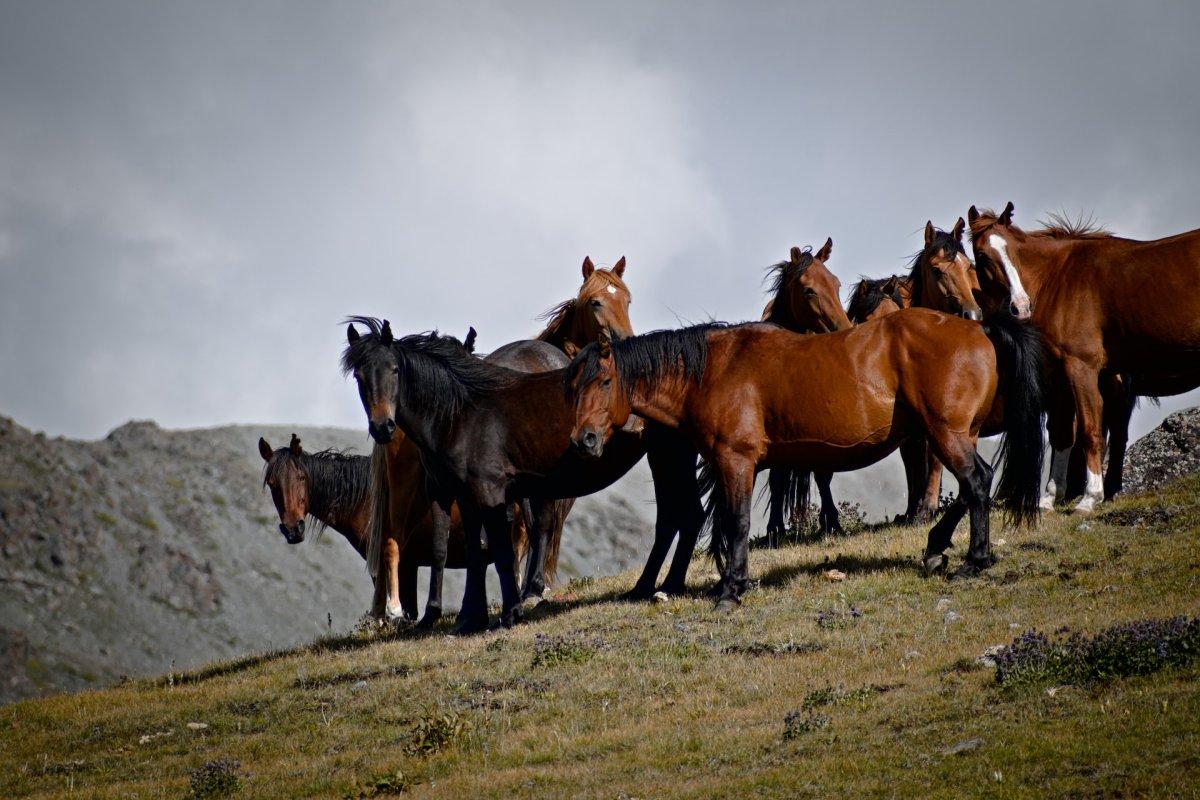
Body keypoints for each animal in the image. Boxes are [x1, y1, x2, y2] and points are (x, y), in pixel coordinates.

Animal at [566, 309, 1046, 609]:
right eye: (573, 387)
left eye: (604, 381)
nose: (583, 439)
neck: (715, 370)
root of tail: (980, 329)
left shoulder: (736, 461)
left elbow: (737, 521)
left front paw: (731, 590)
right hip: (955, 434)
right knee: (973, 486)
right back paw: (936, 548)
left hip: (947, 434)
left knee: (977, 483)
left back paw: (974, 561)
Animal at [964, 203, 1200, 510]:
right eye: (982, 256)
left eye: (1014, 251)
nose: (1021, 306)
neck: (1059, 279)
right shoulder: (1061, 375)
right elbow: (1063, 435)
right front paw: (1050, 497)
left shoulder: (1082, 367)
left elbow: (1090, 430)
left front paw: (1090, 497)